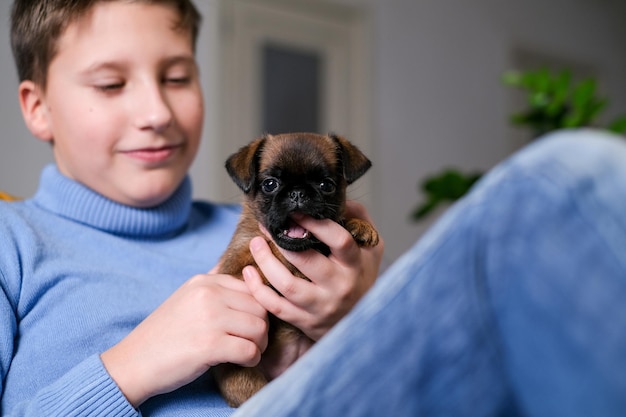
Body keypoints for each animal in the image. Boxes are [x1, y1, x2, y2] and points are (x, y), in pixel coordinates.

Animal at [212, 132, 378, 404]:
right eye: (270, 184)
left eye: (326, 185)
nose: (298, 193)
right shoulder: (237, 268)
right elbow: (274, 249)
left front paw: (358, 224)